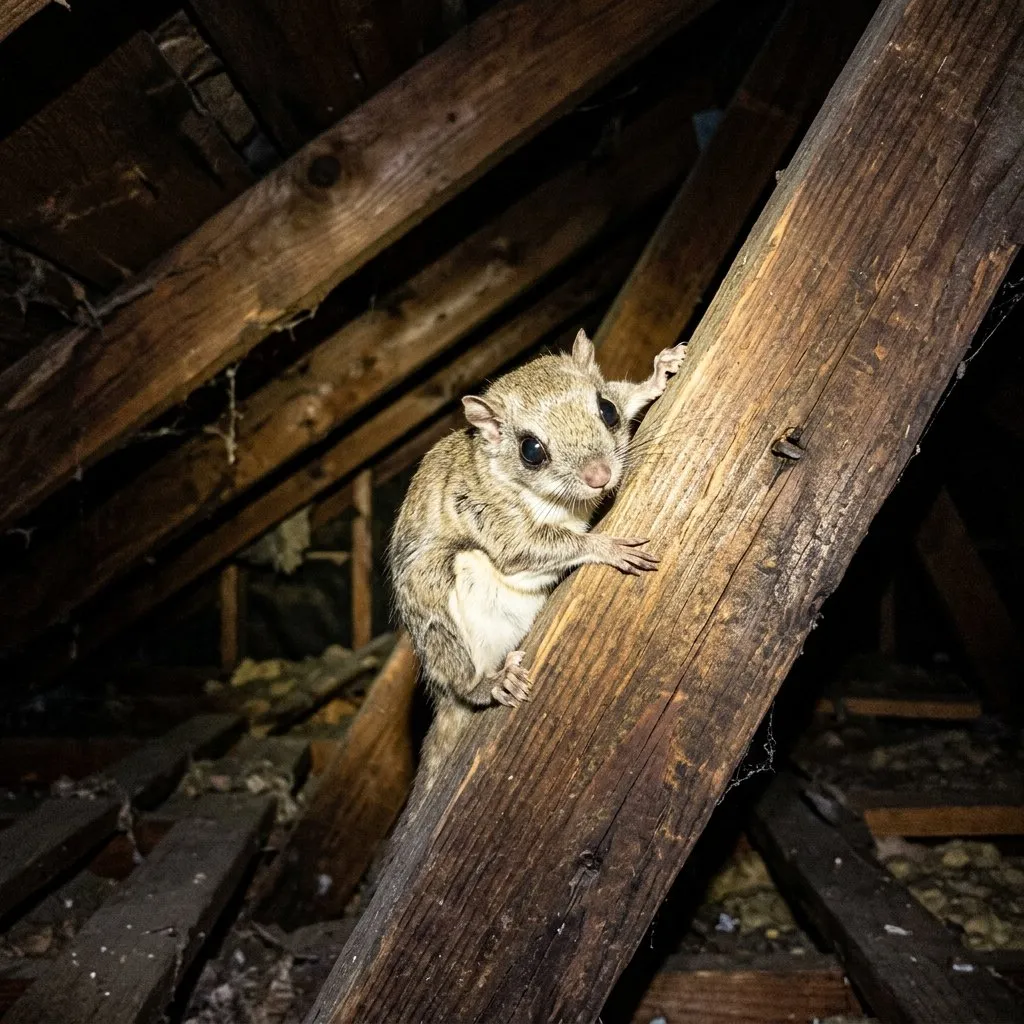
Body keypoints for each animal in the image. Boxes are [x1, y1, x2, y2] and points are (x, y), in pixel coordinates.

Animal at [389, 328, 685, 782]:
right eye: (531, 450)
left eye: (607, 410)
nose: (599, 477)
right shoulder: (492, 516)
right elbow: (531, 546)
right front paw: (606, 547)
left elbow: (631, 390)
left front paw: (658, 373)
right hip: (442, 606)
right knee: (464, 682)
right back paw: (491, 684)